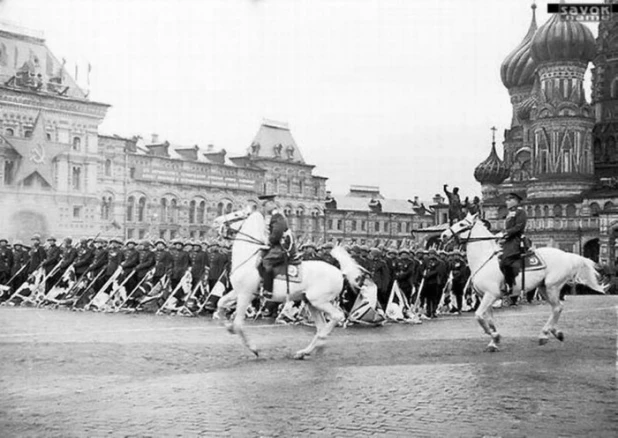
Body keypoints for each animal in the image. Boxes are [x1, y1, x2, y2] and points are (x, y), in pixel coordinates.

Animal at [212, 209, 360, 360]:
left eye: (236, 215)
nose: (216, 221)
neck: (248, 260)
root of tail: (340, 272)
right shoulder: (238, 292)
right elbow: (220, 303)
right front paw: (227, 326)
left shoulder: (245, 295)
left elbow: (238, 324)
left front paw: (253, 348)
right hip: (311, 303)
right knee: (321, 326)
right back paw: (307, 351)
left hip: (319, 301)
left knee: (337, 317)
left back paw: (319, 343)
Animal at [438, 213, 608, 352]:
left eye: (462, 224)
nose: (443, 235)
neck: (484, 260)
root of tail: (566, 255)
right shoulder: (484, 296)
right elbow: (488, 319)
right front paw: (494, 340)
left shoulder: (490, 295)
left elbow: (479, 316)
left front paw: (493, 335)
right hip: (543, 289)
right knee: (556, 308)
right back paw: (555, 333)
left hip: (552, 287)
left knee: (558, 308)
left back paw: (545, 335)